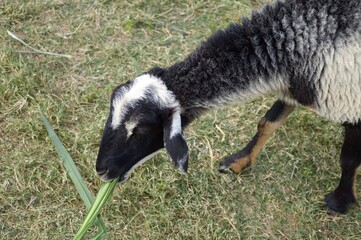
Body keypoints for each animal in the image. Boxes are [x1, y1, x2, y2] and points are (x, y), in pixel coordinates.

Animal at [95, 0, 360, 214]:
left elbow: (348, 159)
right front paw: (239, 161)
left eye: (140, 130)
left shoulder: (350, 104)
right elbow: (267, 122)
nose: (101, 170)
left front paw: (340, 201)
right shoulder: (294, 87)